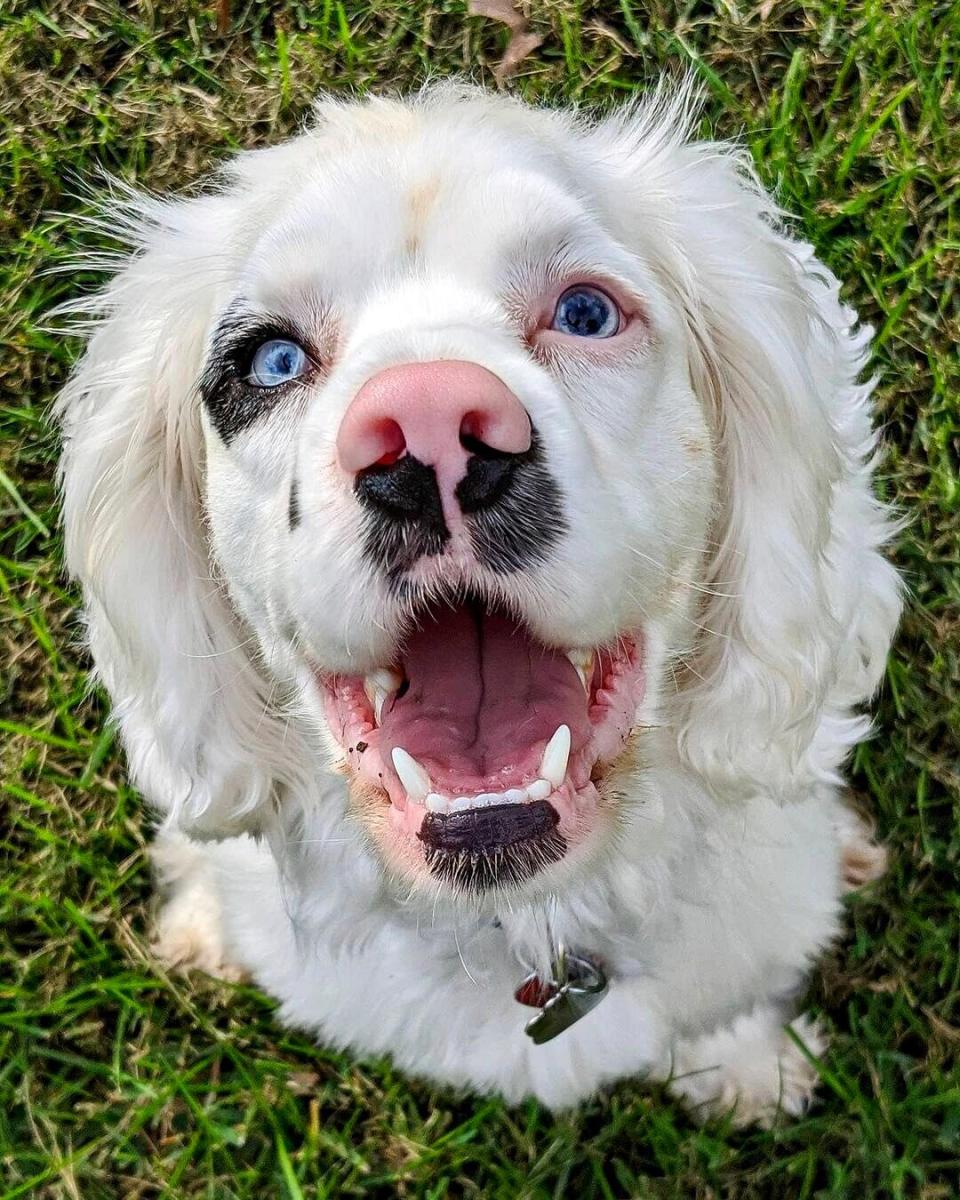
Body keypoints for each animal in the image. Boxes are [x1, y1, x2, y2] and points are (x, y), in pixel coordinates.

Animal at [58, 84, 902, 1123]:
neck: (528, 922)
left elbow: (727, 1004)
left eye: (586, 311)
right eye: (270, 363)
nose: (427, 427)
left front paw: (748, 1069)